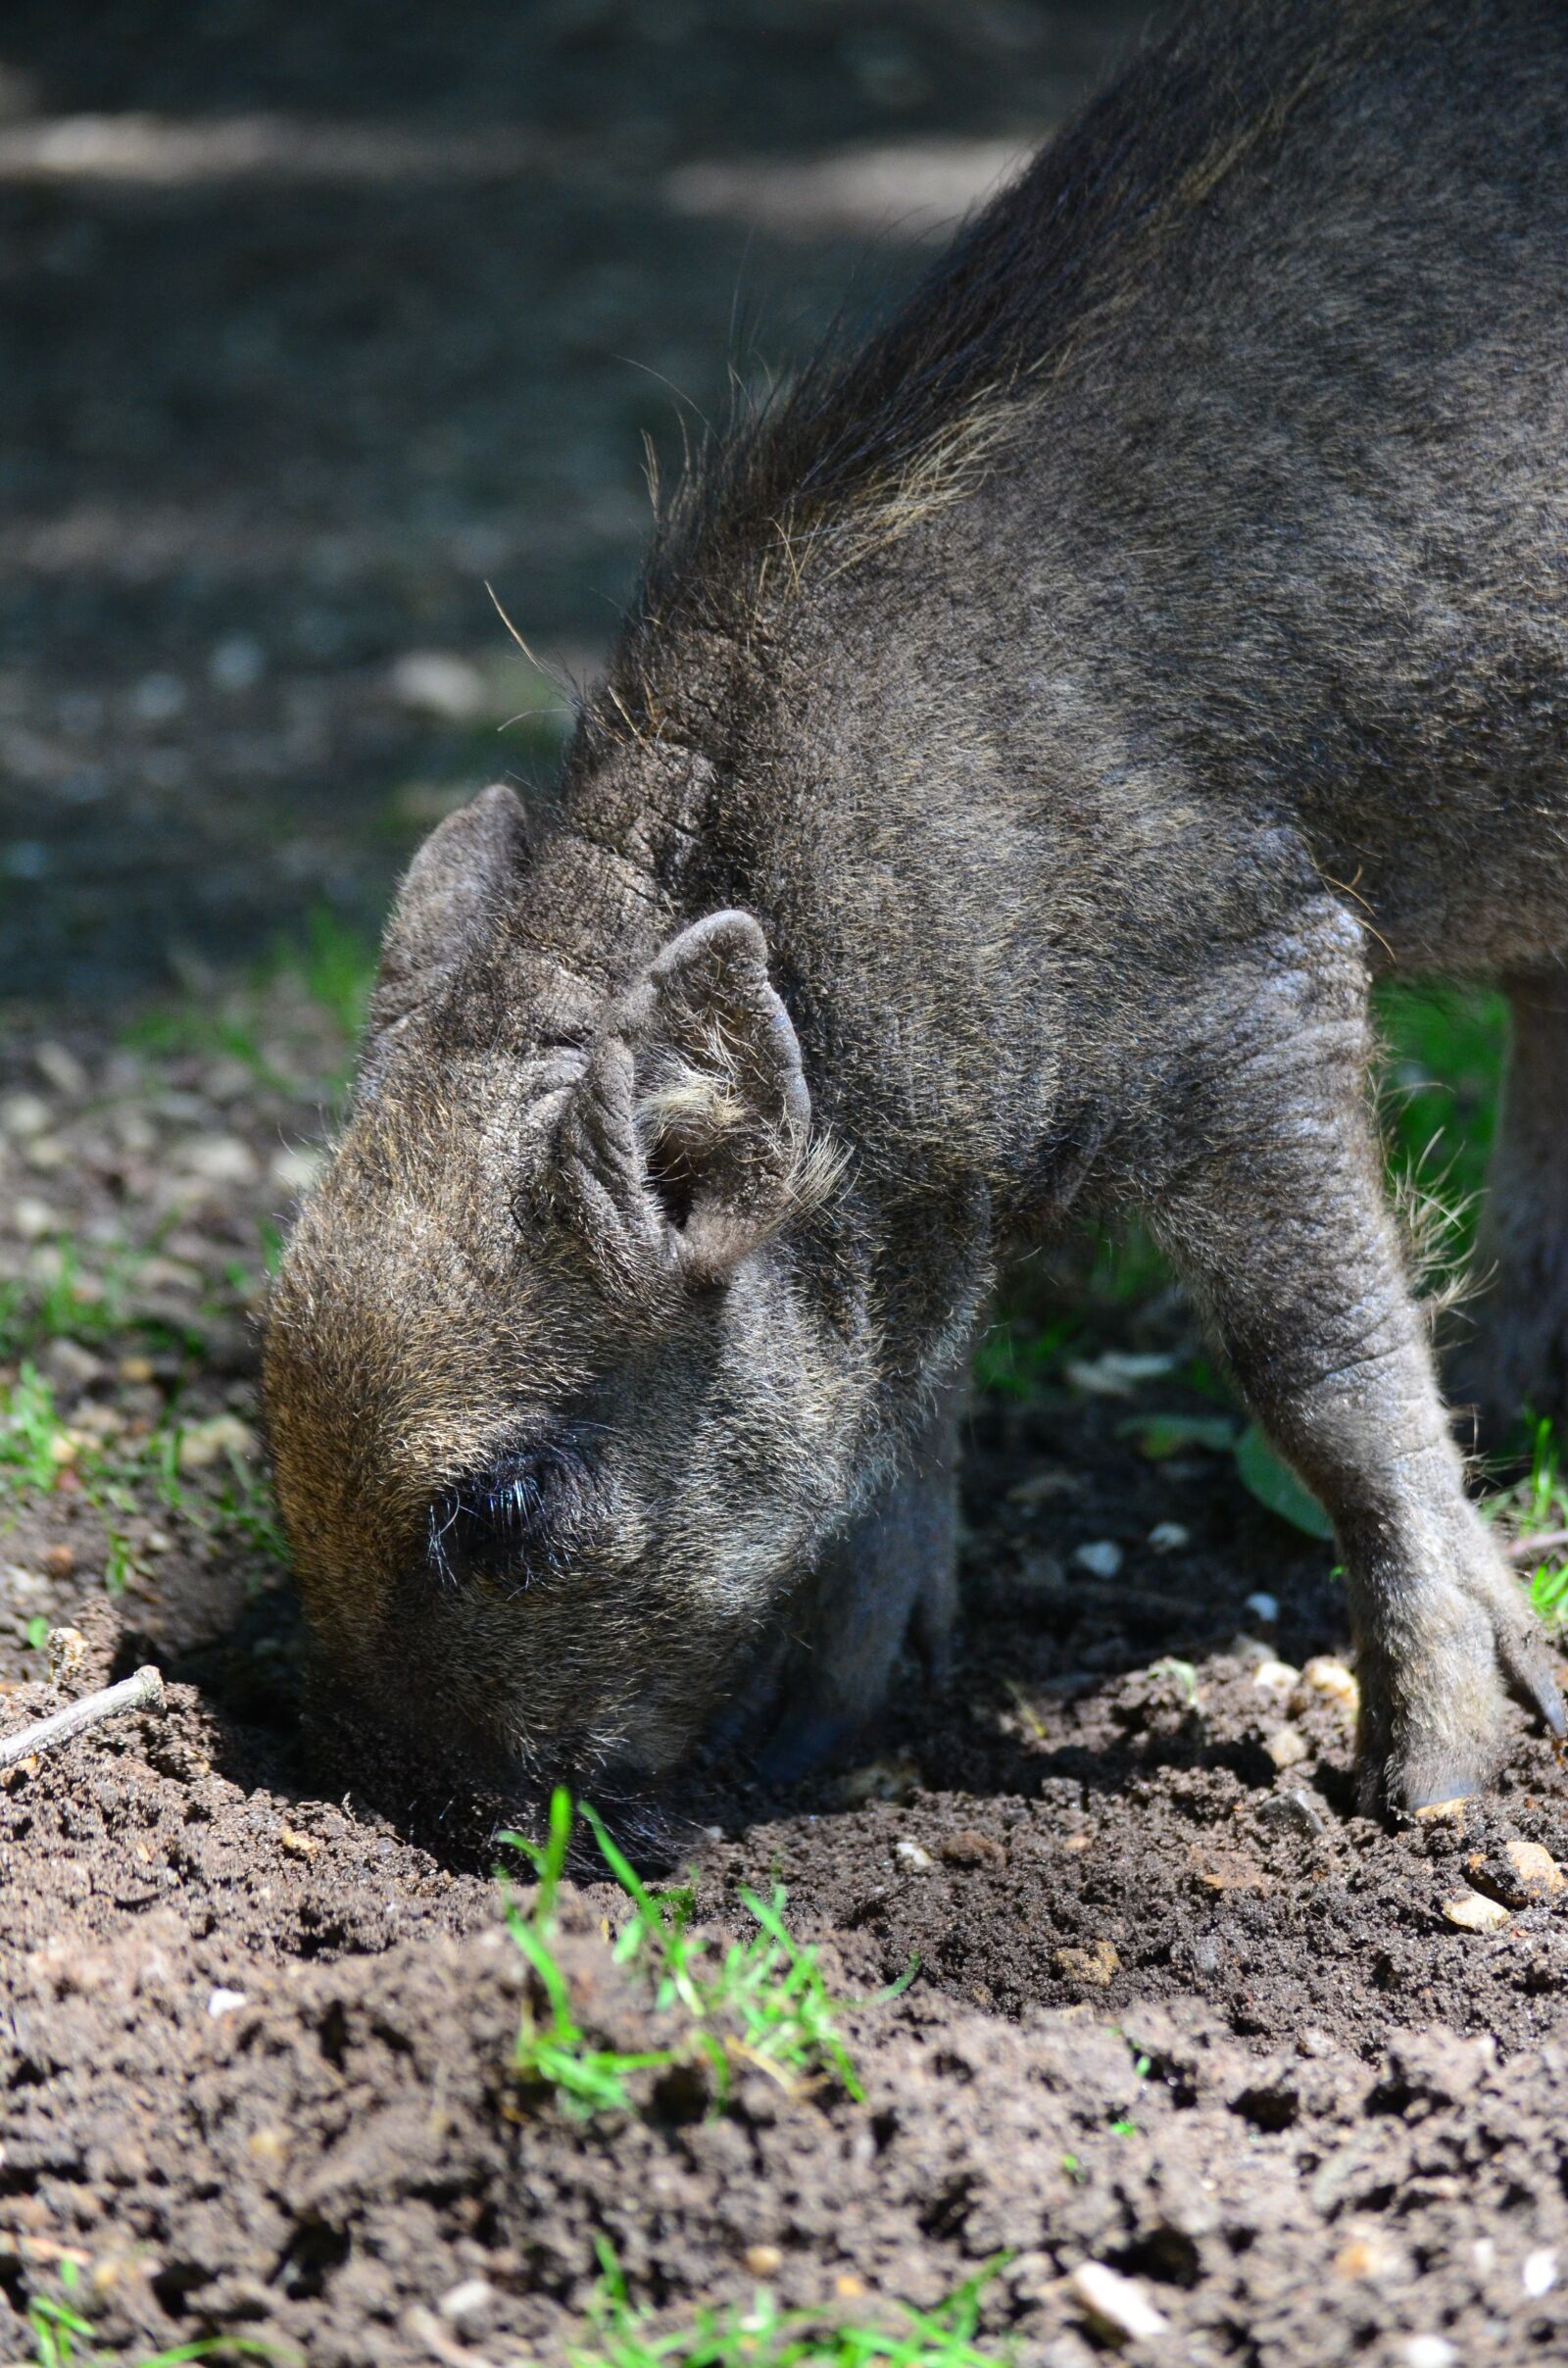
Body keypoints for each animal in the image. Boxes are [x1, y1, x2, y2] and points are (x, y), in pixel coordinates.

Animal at [264, 0, 1568, 1816]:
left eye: (500, 1514)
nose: (406, 1811)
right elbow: (908, 1410)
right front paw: (822, 1736)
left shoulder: (1263, 993)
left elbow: (1321, 1370)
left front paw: (1432, 1782)